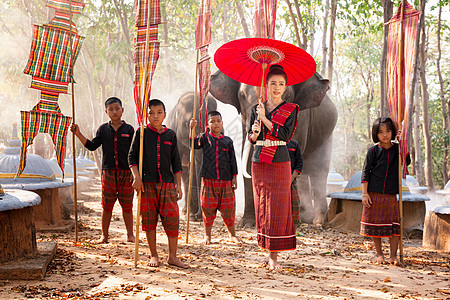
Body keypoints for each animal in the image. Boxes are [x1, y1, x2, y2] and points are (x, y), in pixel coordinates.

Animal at [166, 91, 217, 220]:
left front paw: (194, 215)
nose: (199, 216)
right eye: (187, 124)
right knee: (184, 172)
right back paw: (186, 211)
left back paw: (188, 212)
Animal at [209, 69, 336, 225]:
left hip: (327, 136)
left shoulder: (301, 117)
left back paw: (317, 222)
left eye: (286, 95)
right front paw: (248, 223)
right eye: (242, 96)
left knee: (319, 171)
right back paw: (306, 217)